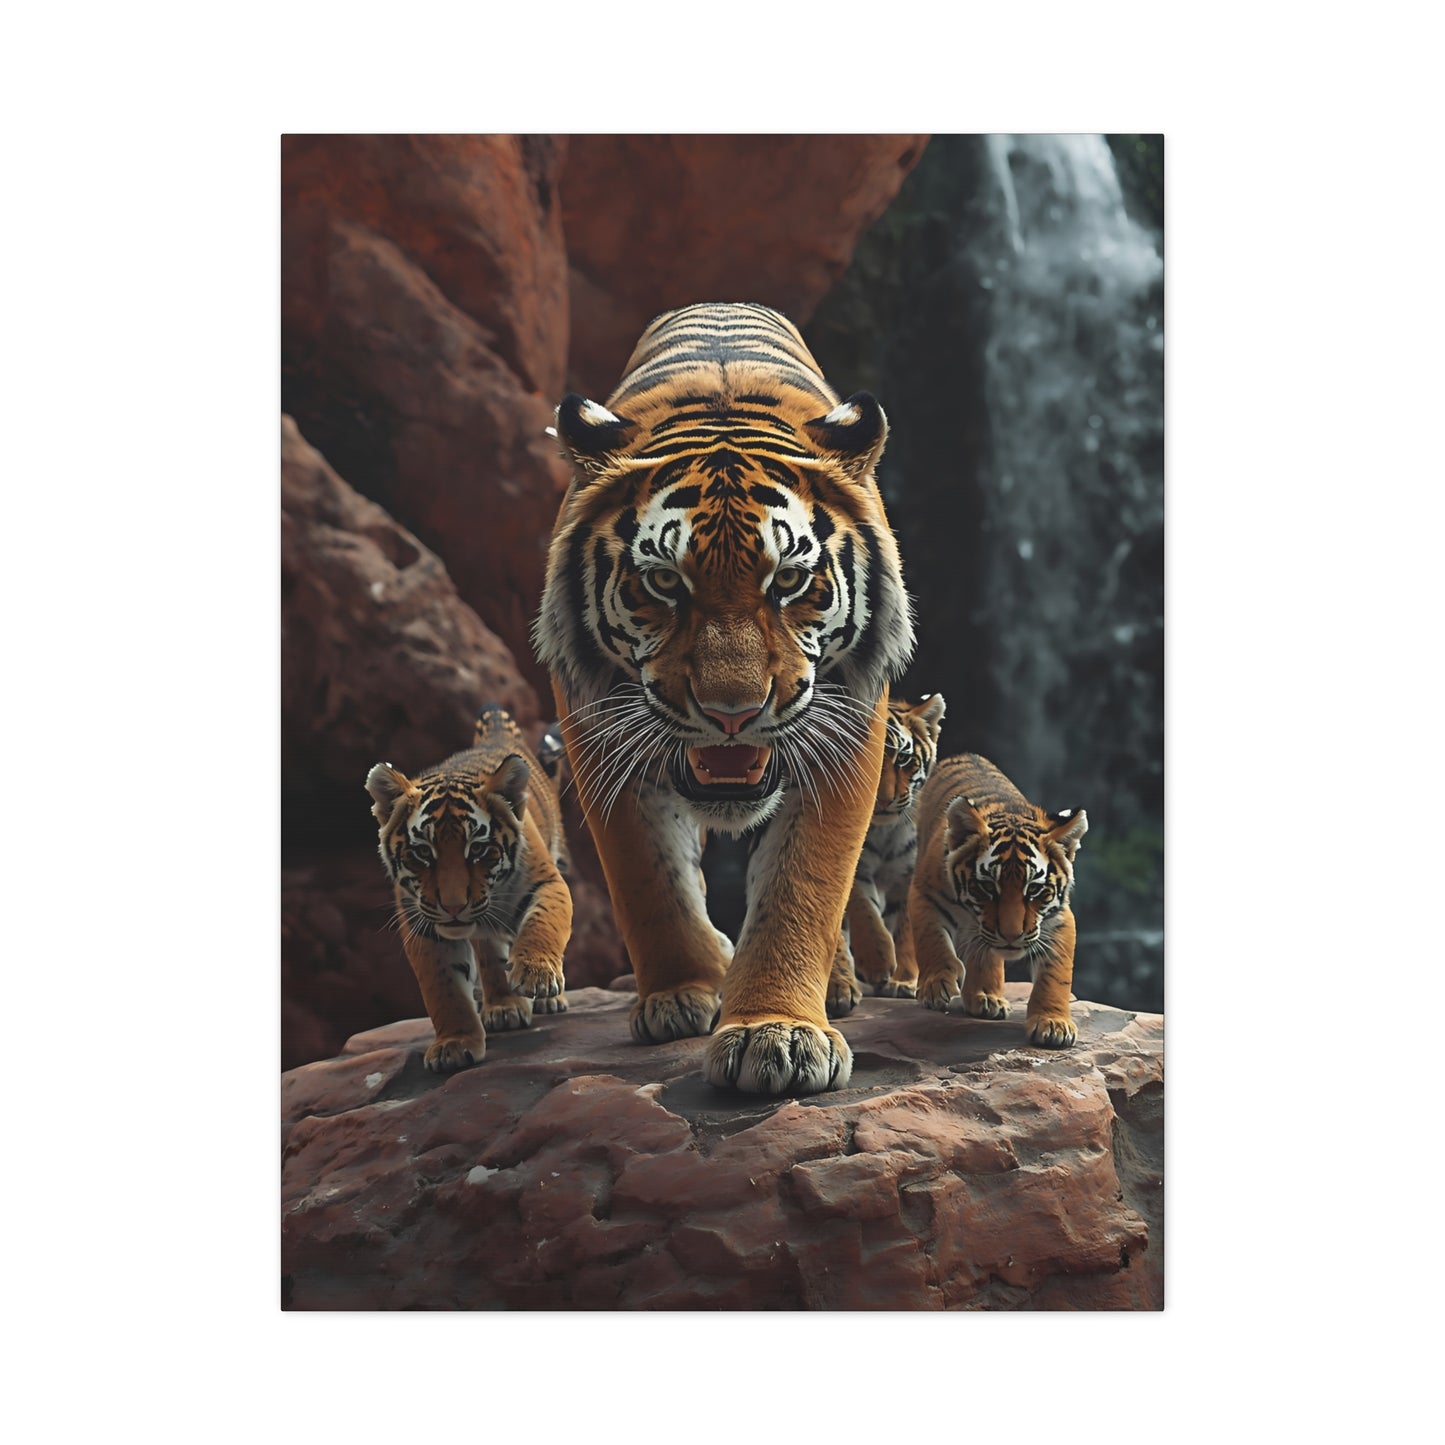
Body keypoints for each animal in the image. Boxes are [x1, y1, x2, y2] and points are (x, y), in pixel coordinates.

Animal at [365, 704, 572, 1073]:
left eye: (477, 849)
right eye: (423, 852)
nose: (453, 906)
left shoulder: (546, 883)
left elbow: (543, 925)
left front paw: (536, 975)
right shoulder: (423, 925)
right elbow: (443, 990)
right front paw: (454, 1044)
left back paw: (547, 999)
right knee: (489, 951)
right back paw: (504, 1006)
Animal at [535, 301, 914, 1094]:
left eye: (789, 580)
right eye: (663, 582)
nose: (732, 712)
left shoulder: (848, 731)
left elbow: (802, 887)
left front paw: (779, 1032)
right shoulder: (597, 730)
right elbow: (648, 880)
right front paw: (682, 993)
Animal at [825, 692, 947, 1016]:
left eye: (903, 758)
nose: (882, 801)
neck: (884, 832)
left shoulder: (908, 877)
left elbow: (905, 929)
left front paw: (904, 980)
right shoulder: (854, 868)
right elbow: (864, 910)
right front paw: (877, 962)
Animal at [908, 752, 1087, 1047]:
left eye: (1034, 890)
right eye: (987, 887)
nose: (1011, 936)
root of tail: (963, 755)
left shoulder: (1059, 917)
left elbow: (1055, 974)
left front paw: (1053, 1023)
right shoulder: (925, 892)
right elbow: (931, 939)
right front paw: (936, 986)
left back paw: (986, 998)